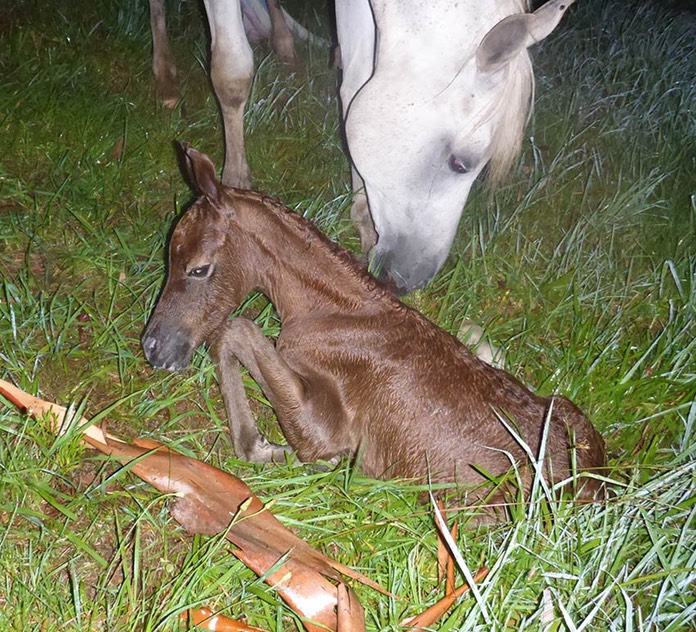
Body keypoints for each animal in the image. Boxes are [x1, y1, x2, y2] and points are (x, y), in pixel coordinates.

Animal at [148, 0, 576, 292]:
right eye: (460, 163)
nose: (411, 281)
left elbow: (355, 85)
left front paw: (362, 215)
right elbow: (232, 72)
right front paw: (235, 181)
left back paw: (286, 48)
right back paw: (164, 75)